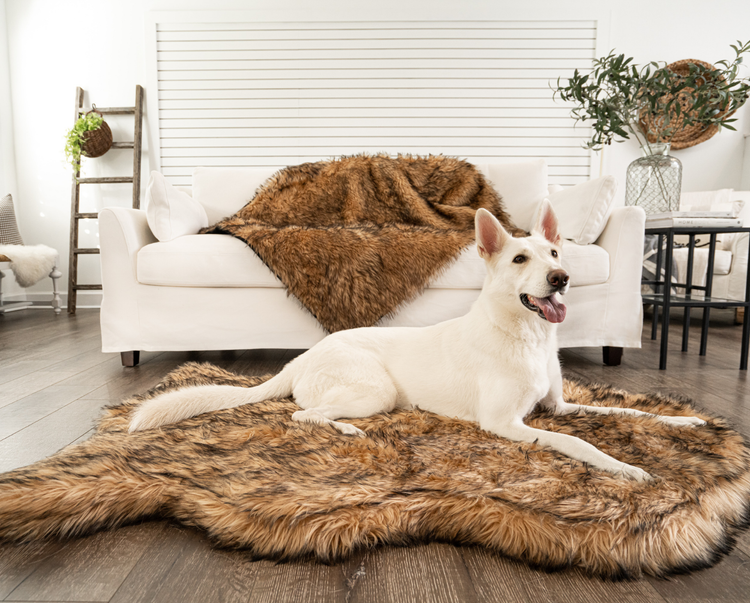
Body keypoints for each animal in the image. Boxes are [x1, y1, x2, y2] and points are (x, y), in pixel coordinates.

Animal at [131, 202, 704, 482]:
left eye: (556, 253)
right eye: (520, 259)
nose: (561, 278)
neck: (528, 336)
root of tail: (304, 357)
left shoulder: (559, 408)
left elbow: (630, 412)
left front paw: (685, 422)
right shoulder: (507, 426)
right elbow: (579, 443)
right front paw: (626, 467)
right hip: (375, 392)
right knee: (301, 414)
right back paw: (347, 431)